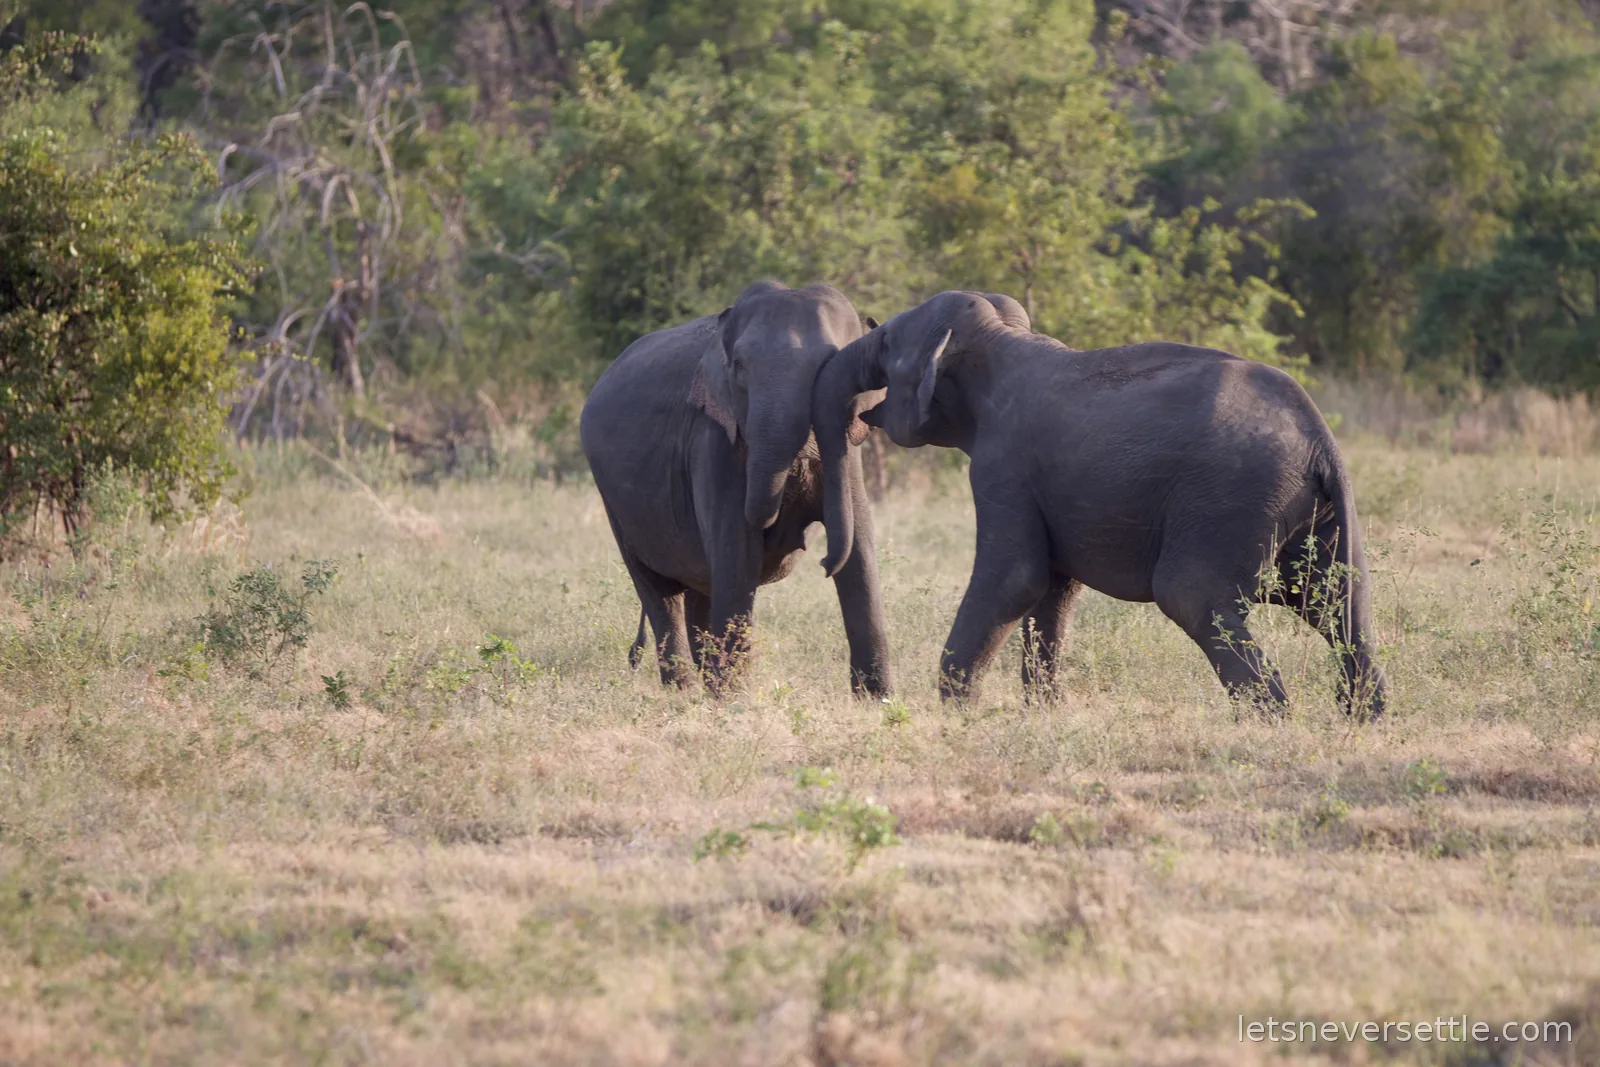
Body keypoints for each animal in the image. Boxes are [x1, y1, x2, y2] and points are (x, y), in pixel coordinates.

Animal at [579, 281, 892, 696]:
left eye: (830, 368)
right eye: (740, 368)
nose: (823, 563)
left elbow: (859, 553)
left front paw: (878, 701)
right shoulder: (714, 441)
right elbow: (737, 554)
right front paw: (734, 702)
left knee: (701, 588)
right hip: (615, 501)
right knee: (659, 591)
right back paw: (686, 694)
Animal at [811, 290, 1386, 717]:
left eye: (886, 341)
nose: (821, 562)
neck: (1000, 339)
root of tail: (1320, 438)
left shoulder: (1004, 466)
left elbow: (1016, 578)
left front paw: (958, 712)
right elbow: (1052, 590)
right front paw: (1043, 714)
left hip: (1229, 498)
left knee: (1193, 595)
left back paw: (1272, 722)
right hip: (1314, 510)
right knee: (1340, 604)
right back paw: (1362, 719)